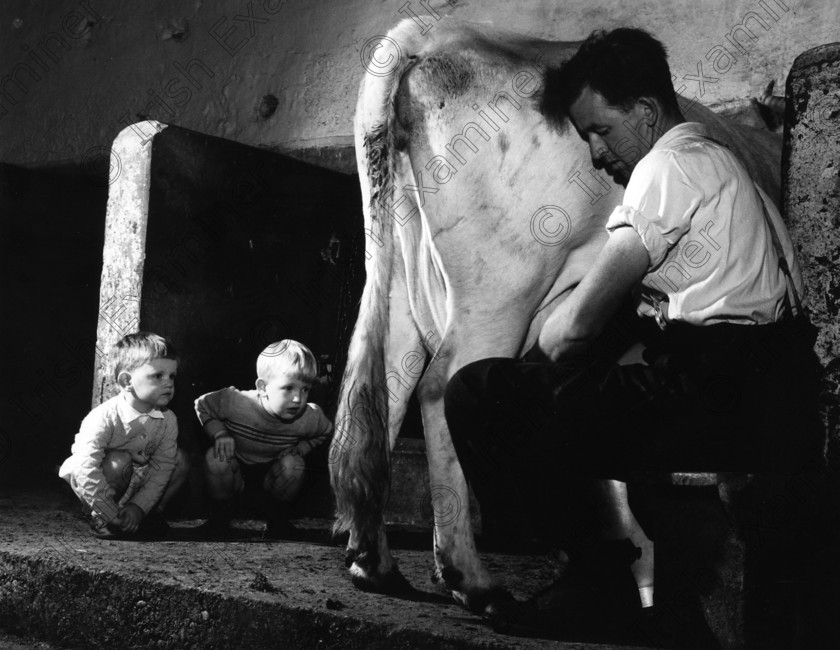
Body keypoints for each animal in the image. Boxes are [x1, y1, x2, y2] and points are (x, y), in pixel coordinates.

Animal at [328, 16, 780, 612]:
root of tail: (435, 30)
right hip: (503, 284)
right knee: (440, 386)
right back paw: (473, 580)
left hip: (401, 274)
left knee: (387, 388)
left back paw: (373, 563)